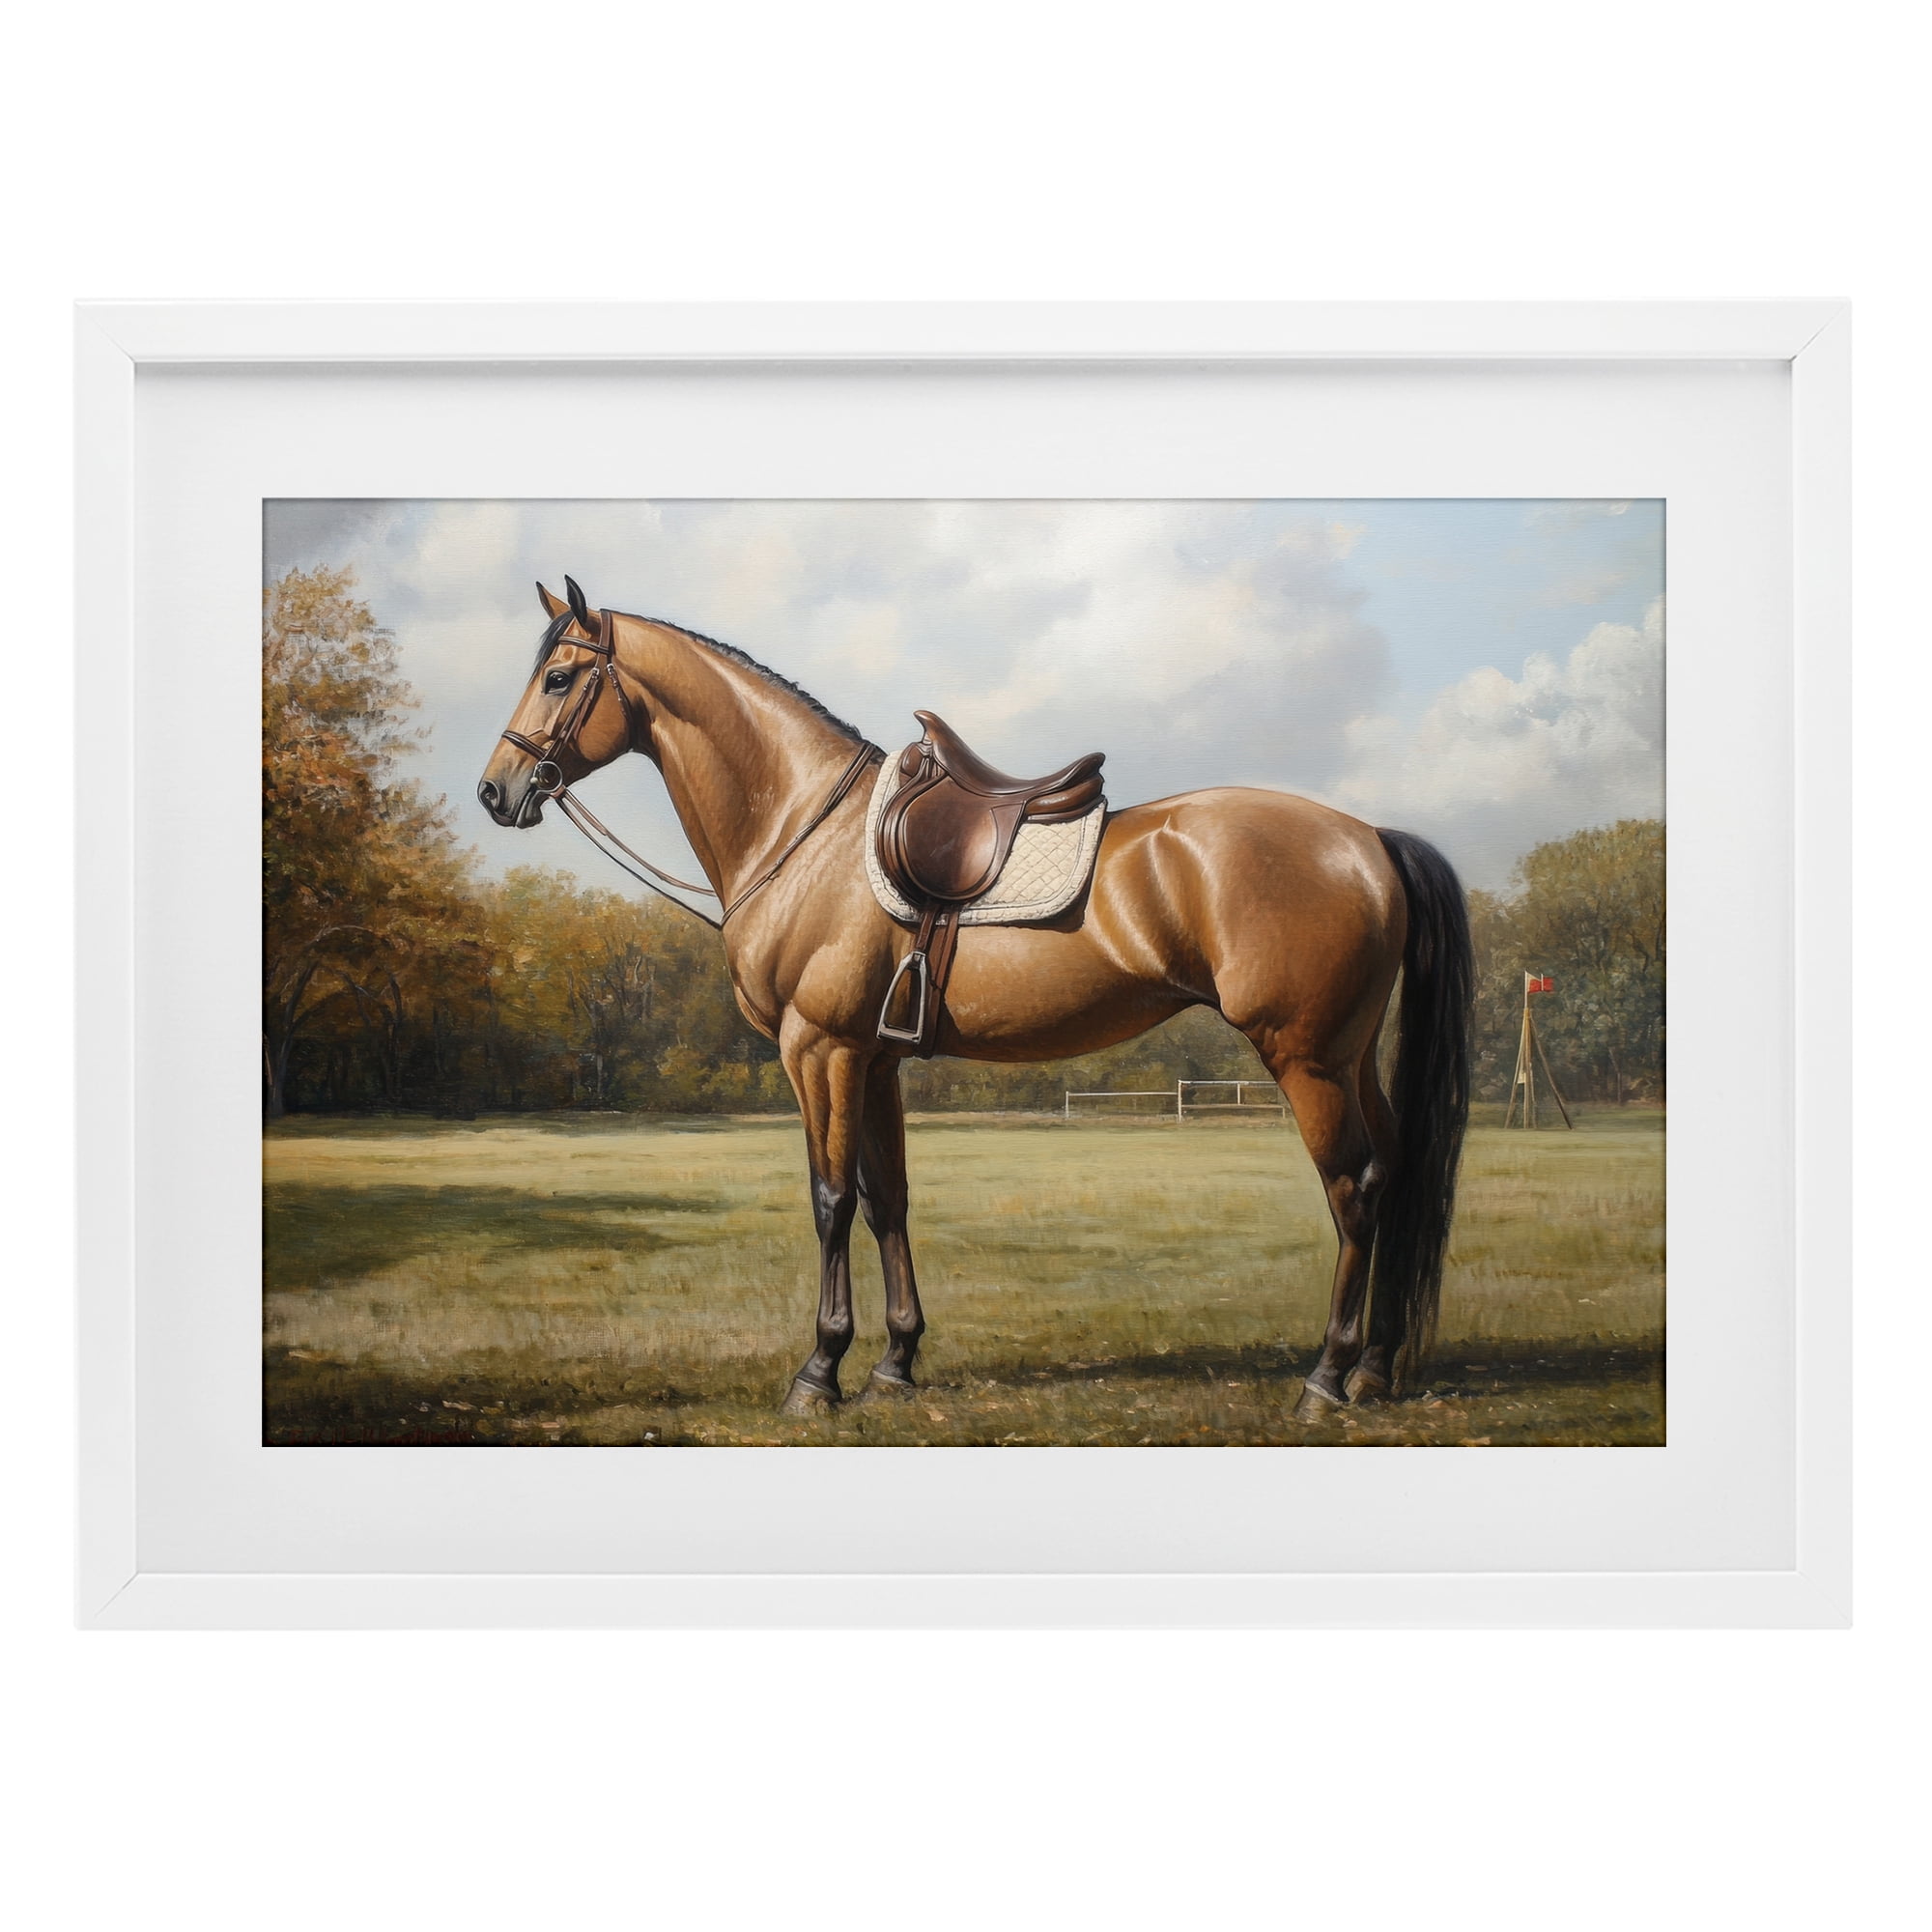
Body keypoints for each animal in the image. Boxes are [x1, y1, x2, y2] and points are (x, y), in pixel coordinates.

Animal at [477, 579, 1473, 1422]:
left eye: (559, 677)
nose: (496, 790)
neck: (805, 831)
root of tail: (1367, 839)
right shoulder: (874, 1059)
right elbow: (887, 1199)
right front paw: (894, 1363)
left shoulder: (819, 1050)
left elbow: (830, 1199)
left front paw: (819, 1373)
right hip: (1350, 1057)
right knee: (1393, 1172)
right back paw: (1374, 1368)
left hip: (1305, 1059)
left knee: (1351, 1191)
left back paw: (1325, 1379)